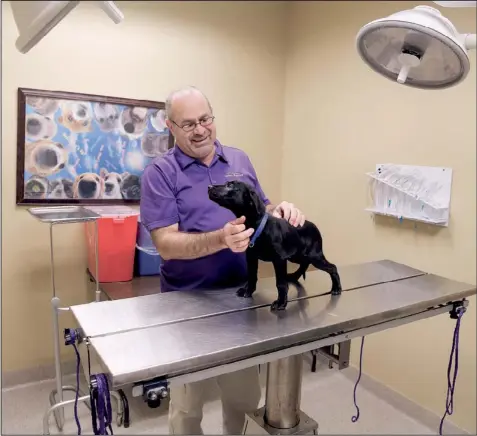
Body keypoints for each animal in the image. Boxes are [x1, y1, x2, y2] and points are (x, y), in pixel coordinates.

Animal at [206, 180, 340, 310]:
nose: (209, 187)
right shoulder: (251, 257)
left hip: (314, 256)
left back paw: (336, 288)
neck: (258, 225)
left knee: (332, 267)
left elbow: (280, 283)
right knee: (304, 264)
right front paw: (248, 290)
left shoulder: (279, 259)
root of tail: (314, 226)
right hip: (296, 255)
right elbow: (252, 275)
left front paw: (281, 302)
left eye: (230, 185)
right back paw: (294, 276)